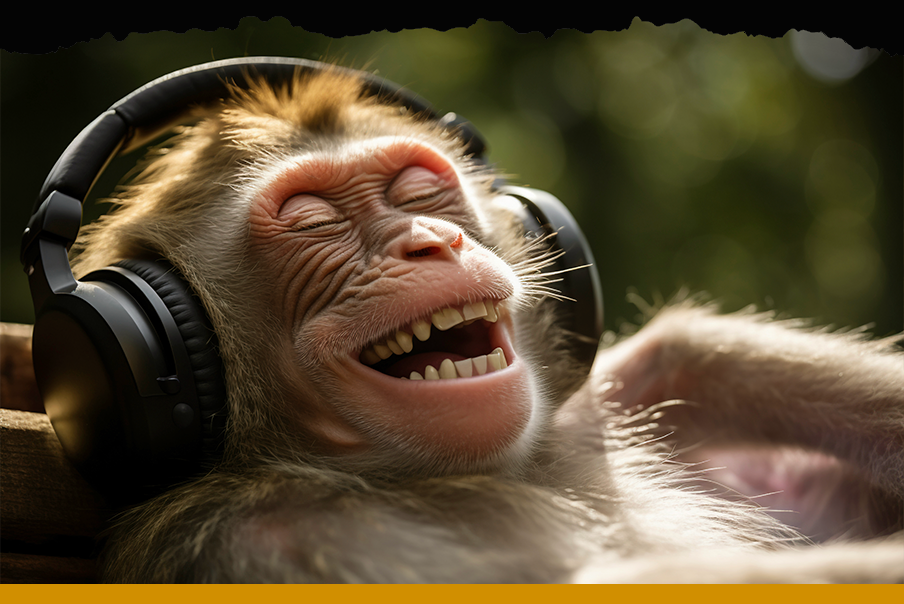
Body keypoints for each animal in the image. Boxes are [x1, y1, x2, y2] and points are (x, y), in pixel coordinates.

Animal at [37, 62, 904, 583]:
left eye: (418, 191)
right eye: (313, 220)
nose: (430, 242)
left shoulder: (610, 394)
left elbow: (685, 353)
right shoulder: (250, 539)